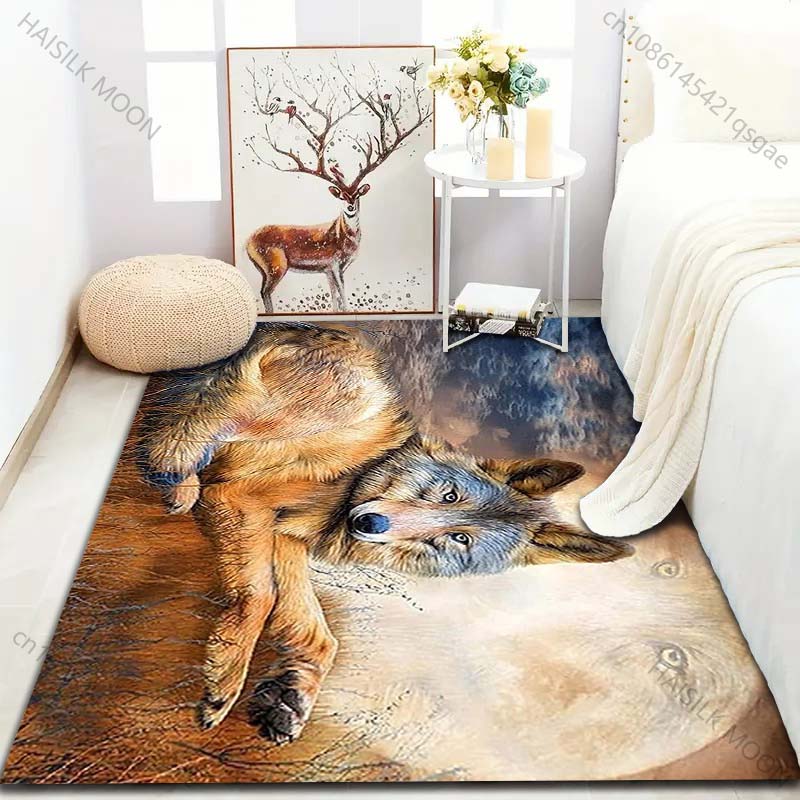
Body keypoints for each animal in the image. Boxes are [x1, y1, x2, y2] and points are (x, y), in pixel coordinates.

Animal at [138, 323, 631, 744]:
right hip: (339, 402)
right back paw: (179, 480)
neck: (359, 476)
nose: (370, 524)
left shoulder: (285, 536)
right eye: (449, 496)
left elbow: (319, 633)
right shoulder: (240, 500)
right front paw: (224, 681)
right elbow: (260, 596)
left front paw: (292, 697)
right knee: (188, 429)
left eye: (458, 539)